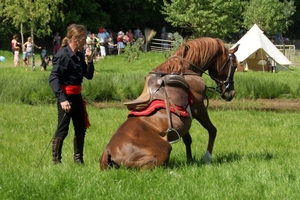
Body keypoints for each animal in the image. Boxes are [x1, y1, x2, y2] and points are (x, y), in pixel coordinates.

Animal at [99, 37, 240, 169]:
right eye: (234, 66)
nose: (231, 93)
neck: (186, 71)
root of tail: (108, 151)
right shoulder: (199, 109)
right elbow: (212, 130)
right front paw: (208, 158)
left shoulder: (185, 118)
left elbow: (188, 140)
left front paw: (190, 160)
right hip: (164, 149)